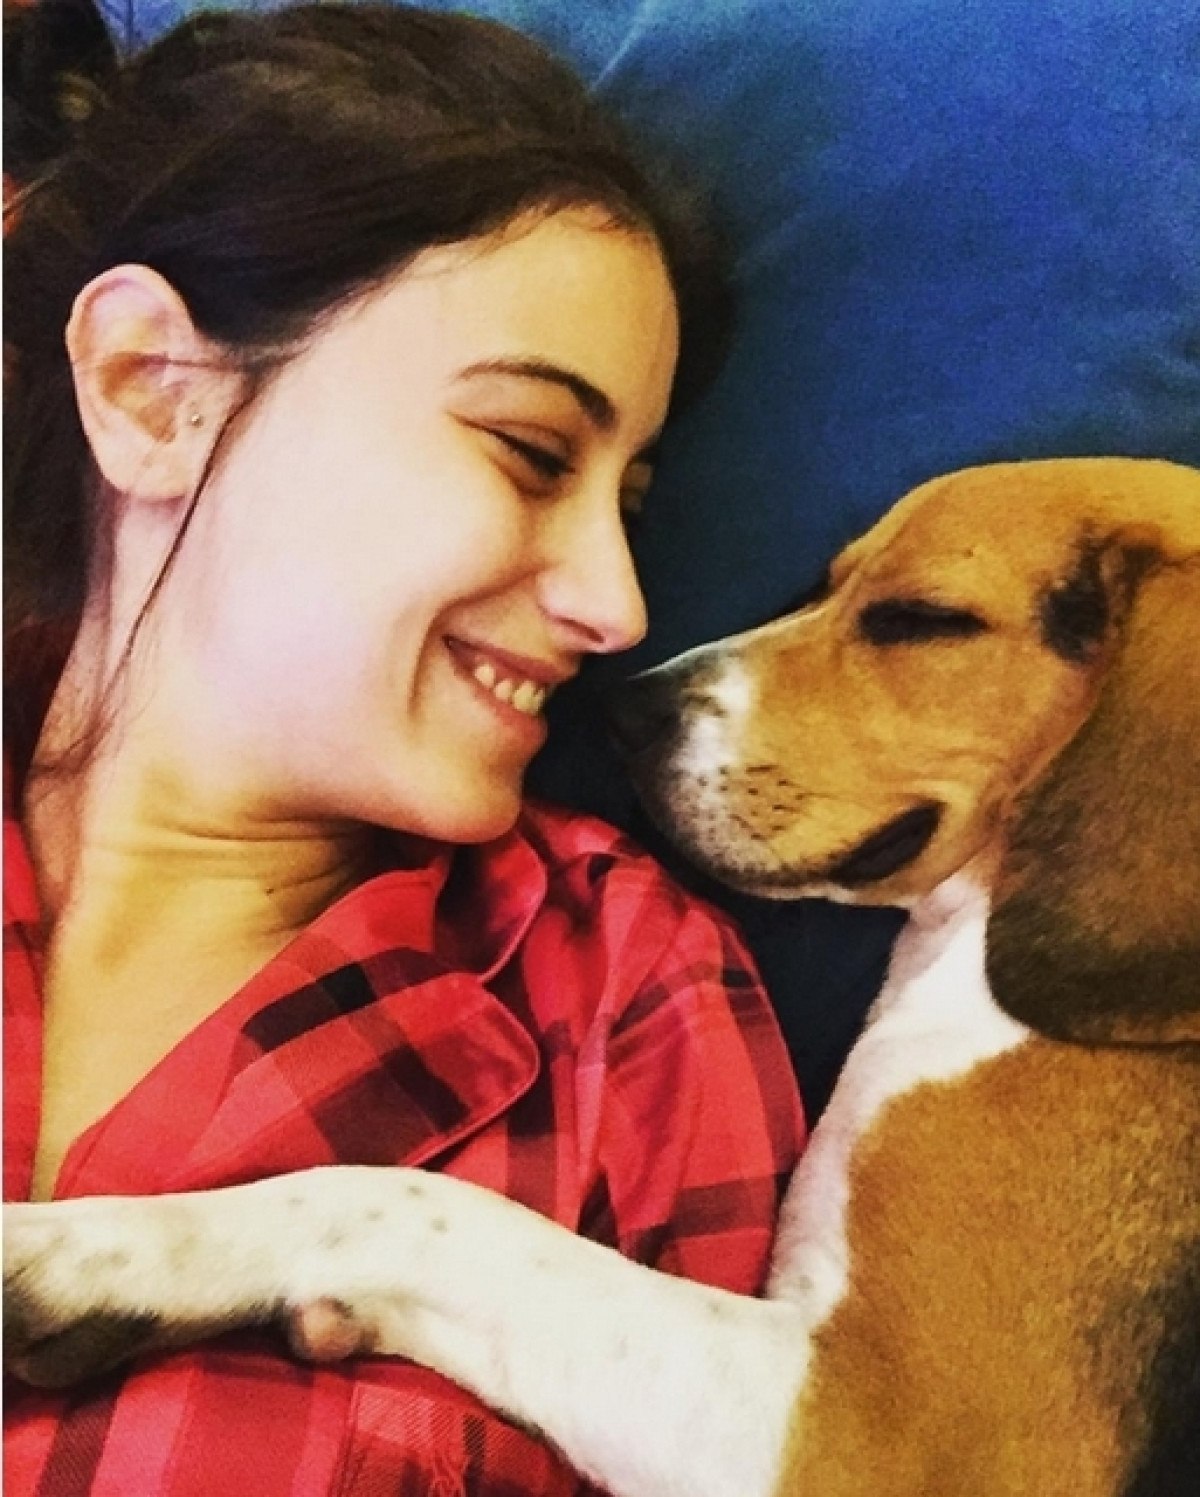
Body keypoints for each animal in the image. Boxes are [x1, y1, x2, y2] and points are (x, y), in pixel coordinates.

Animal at [6, 457, 1199, 1497]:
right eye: (827, 585)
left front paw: (94, 1251)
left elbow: (426, 1205)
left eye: (923, 619)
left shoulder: (871, 1439)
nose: (627, 711)